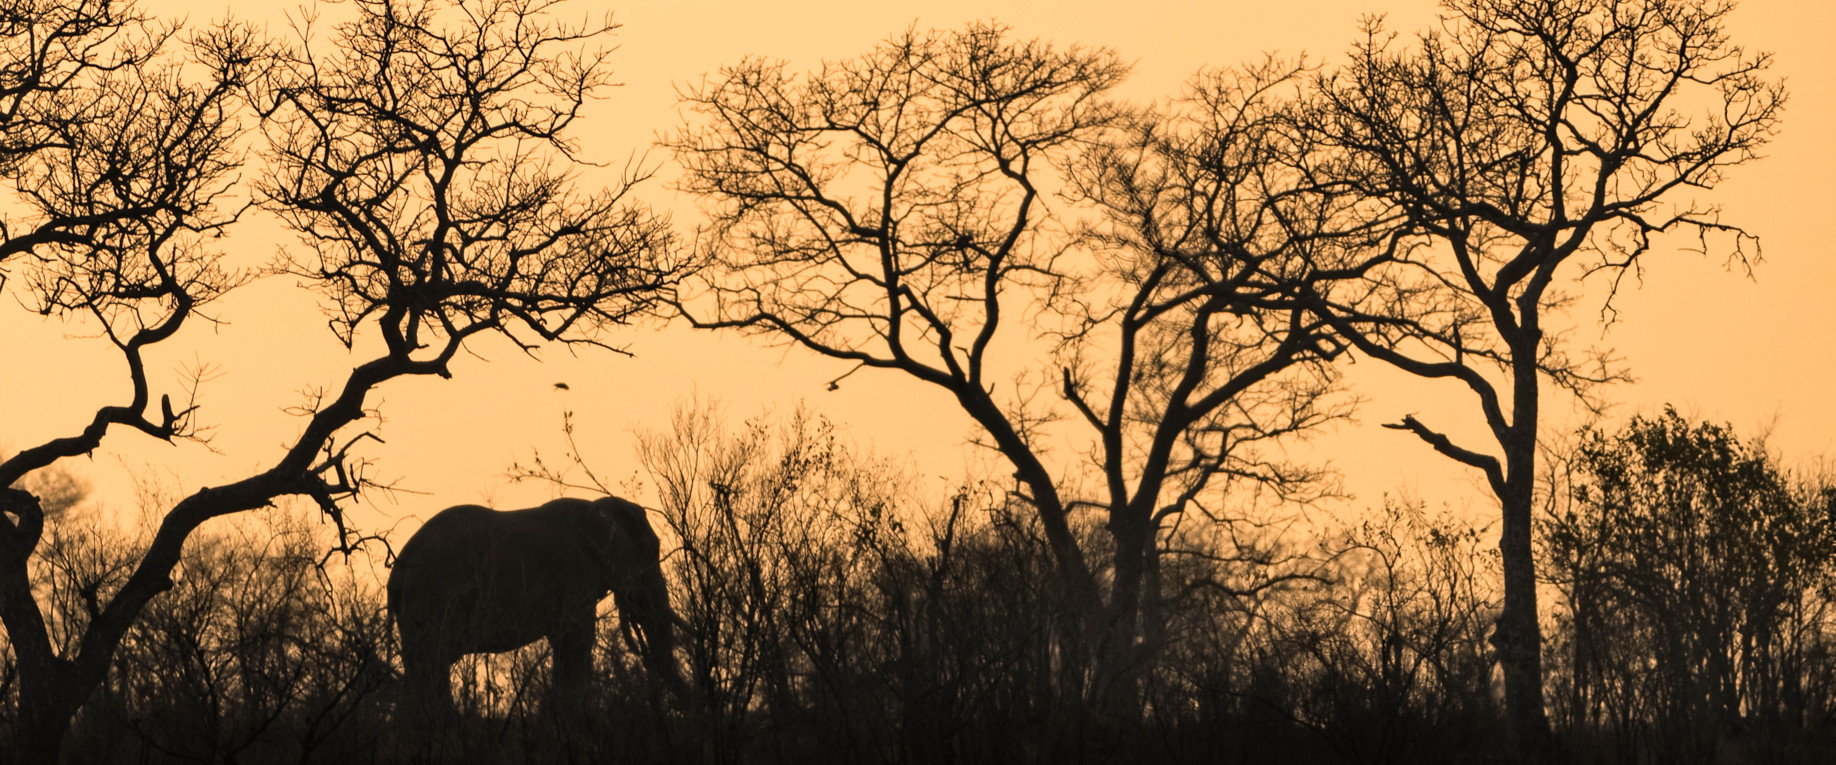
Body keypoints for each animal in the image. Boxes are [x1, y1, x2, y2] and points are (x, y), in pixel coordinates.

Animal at [387, 496, 687, 719]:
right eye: (651, 553)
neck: (597, 508)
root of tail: (398, 571)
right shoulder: (574, 572)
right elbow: (577, 642)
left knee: (418, 673)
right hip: (432, 599)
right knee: (431, 670)